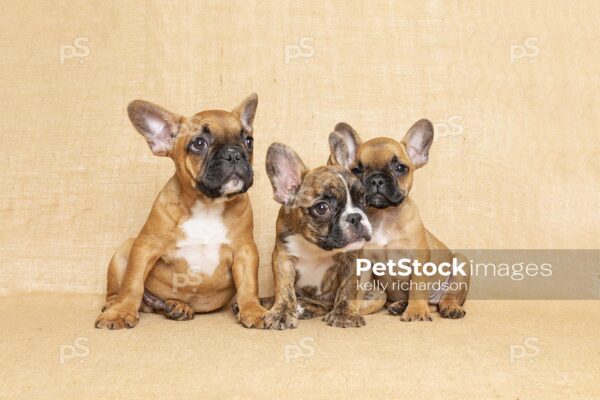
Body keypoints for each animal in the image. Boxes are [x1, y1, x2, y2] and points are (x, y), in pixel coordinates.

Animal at [94, 95, 268, 330]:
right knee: (117, 289)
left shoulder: (245, 251)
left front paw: (254, 310)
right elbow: (133, 283)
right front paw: (120, 312)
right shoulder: (145, 248)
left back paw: (178, 306)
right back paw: (114, 304)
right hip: (124, 250)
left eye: (249, 141)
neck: (207, 206)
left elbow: (249, 285)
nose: (234, 154)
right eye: (199, 143)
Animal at [260, 142, 386, 330]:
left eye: (363, 198)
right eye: (321, 208)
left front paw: (344, 314)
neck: (316, 246)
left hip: (377, 295)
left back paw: (305, 308)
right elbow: (284, 288)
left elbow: (348, 288)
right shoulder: (283, 257)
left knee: (326, 305)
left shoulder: (351, 258)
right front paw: (281, 313)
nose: (355, 217)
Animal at [330, 121, 472, 322]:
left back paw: (449, 307)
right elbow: (356, 291)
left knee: (447, 297)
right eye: (357, 171)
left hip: (461, 264)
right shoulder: (365, 264)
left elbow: (417, 288)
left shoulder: (418, 260)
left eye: (400, 168)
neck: (385, 216)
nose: (376, 179)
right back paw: (400, 305)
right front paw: (350, 312)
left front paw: (416, 312)